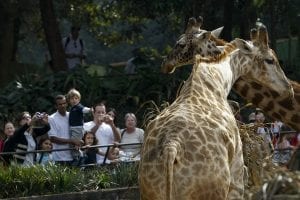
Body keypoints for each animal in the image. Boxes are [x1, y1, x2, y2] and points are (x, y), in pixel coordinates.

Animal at [139, 27, 292, 200]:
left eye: (180, 44)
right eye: (270, 60)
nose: (288, 88)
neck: (218, 80)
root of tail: (171, 147)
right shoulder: (238, 173)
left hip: (150, 191)